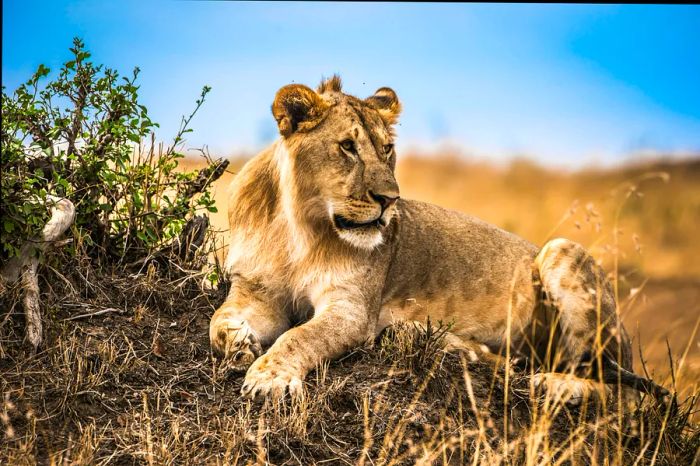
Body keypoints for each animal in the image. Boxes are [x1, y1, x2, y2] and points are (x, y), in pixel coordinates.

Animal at [212, 76, 668, 404]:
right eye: (347, 147)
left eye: (387, 149)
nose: (389, 199)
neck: (300, 230)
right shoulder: (257, 290)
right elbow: (219, 321)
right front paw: (239, 343)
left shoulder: (352, 310)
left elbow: (300, 337)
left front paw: (269, 378)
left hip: (562, 253)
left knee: (621, 393)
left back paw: (554, 385)